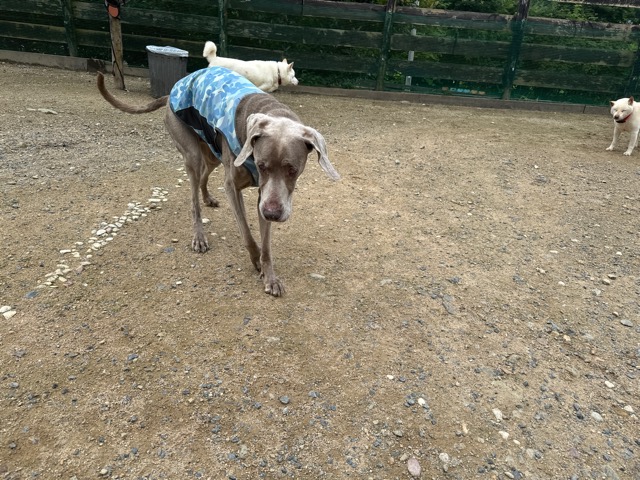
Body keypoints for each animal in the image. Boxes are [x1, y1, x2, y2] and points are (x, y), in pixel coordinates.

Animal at [97, 68, 339, 296]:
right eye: (261, 165)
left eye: (293, 170)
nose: (272, 214)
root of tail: (171, 93)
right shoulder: (234, 188)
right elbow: (247, 233)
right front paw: (255, 261)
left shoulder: (265, 195)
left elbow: (267, 245)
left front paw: (270, 277)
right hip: (190, 151)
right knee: (194, 198)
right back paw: (199, 236)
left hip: (213, 151)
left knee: (205, 173)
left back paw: (208, 198)